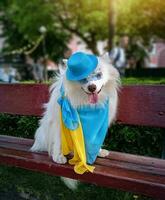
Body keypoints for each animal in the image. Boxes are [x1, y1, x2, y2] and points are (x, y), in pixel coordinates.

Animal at [30, 52, 119, 186]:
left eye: (99, 74)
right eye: (82, 78)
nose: (92, 87)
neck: (85, 103)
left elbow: (95, 141)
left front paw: (98, 151)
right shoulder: (58, 123)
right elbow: (58, 140)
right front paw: (58, 156)